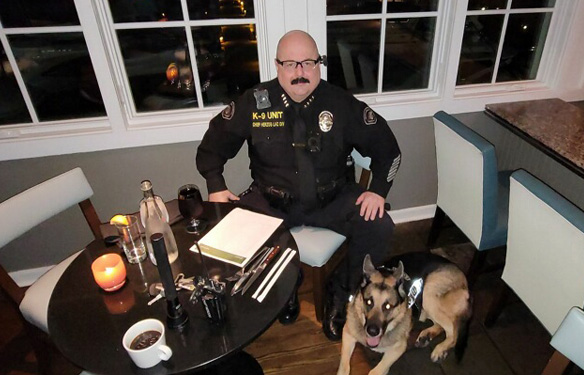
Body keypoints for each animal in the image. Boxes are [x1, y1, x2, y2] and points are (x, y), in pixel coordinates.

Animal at [338, 253, 470, 375]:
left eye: (388, 306)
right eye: (369, 302)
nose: (372, 332)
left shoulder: (398, 348)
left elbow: (375, 372)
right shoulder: (348, 332)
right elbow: (344, 367)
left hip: (428, 294)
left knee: (453, 331)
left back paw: (440, 349)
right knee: (444, 325)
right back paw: (427, 335)